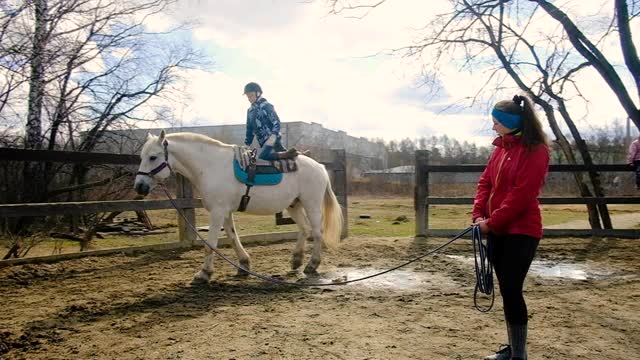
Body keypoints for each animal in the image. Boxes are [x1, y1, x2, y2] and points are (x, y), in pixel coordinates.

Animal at [134, 131, 342, 282]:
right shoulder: (225, 213)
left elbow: (211, 243)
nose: (139, 186)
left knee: (317, 232)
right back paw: (296, 260)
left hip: (311, 205)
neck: (211, 166)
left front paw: (204, 273)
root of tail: (320, 167)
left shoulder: (217, 213)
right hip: (294, 205)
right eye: (142, 156)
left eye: (153, 157)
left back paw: (312, 265)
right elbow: (233, 238)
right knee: (305, 229)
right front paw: (243, 265)